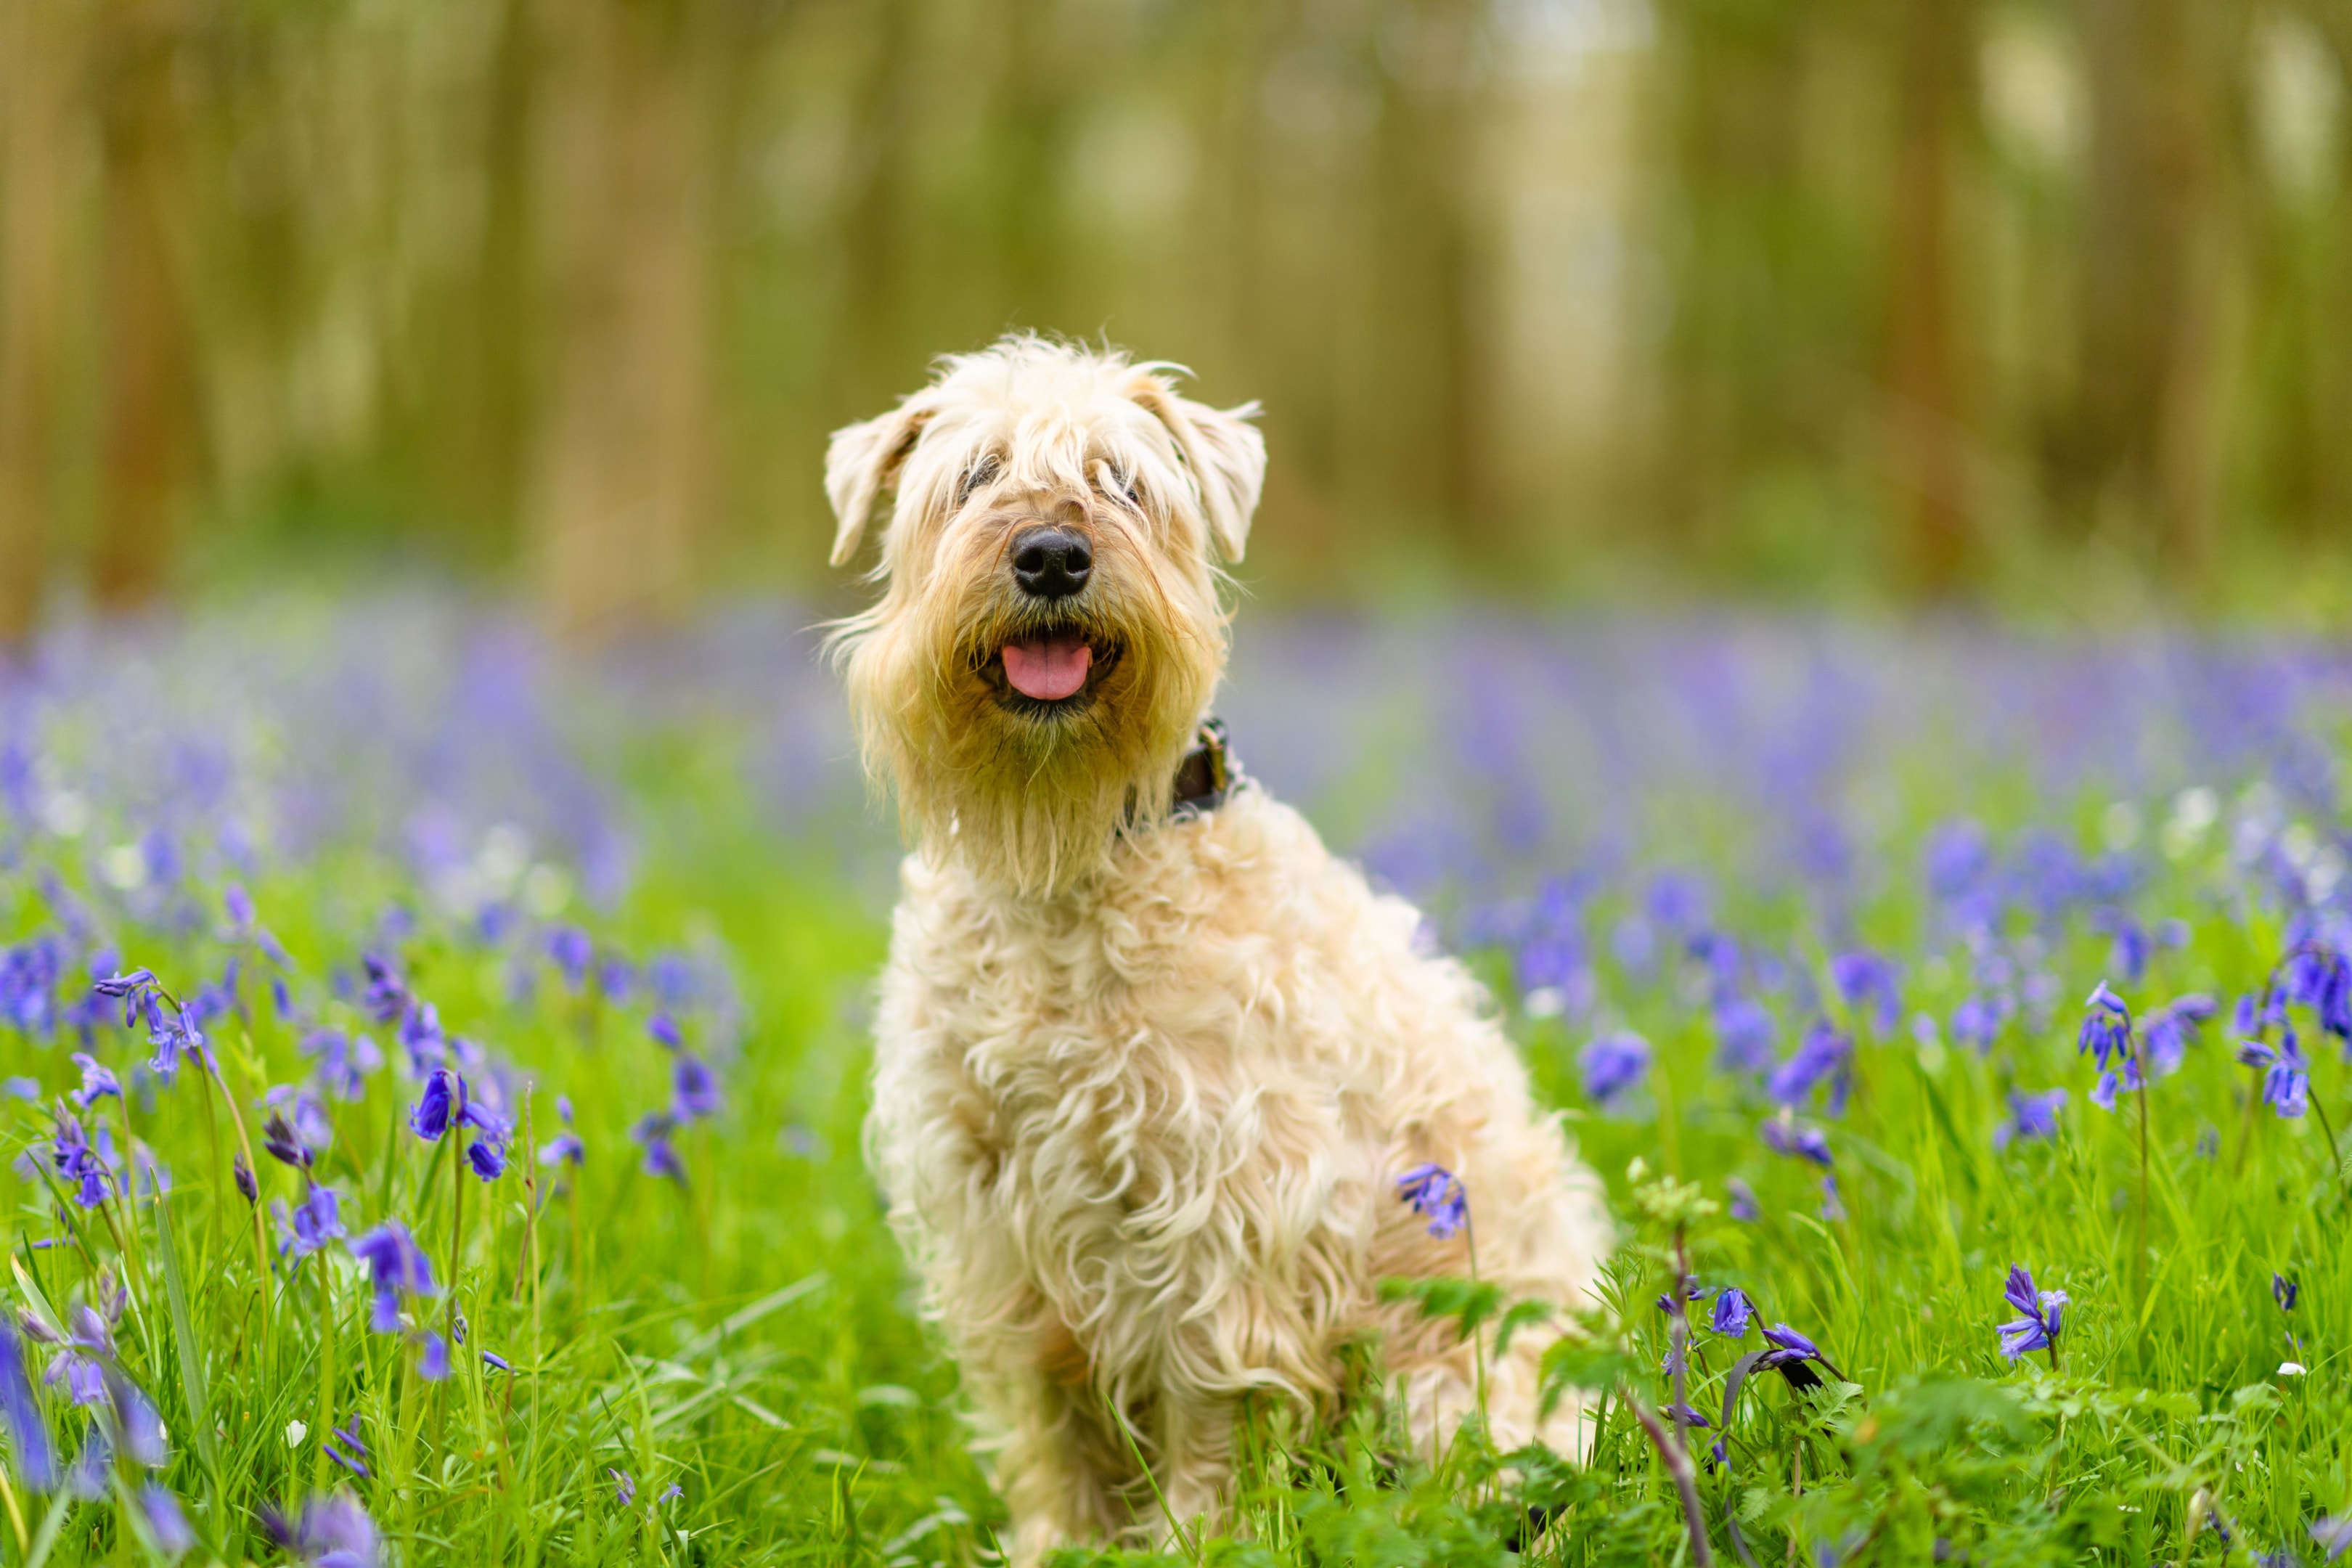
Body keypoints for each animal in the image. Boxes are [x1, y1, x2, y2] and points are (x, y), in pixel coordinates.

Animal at [828, 338, 1618, 1561]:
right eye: (975, 475)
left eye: (1122, 481)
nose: (1051, 554)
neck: (1069, 865)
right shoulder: (997, 1220)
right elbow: (1049, 1425)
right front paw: (1058, 1543)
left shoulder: (1229, 1207)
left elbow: (1211, 1408)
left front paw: (1199, 1537)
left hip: (1459, 1385)